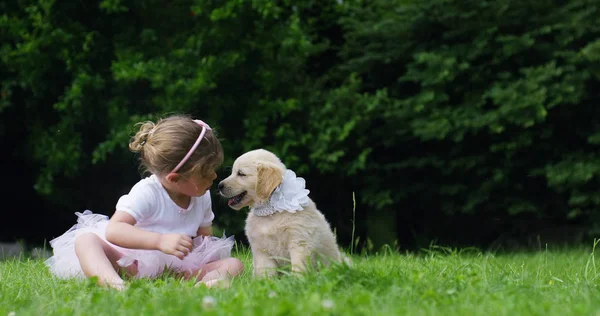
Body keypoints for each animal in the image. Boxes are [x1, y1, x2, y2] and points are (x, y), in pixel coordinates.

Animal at [218, 149, 346, 278]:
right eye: (233, 172)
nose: (219, 186)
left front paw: (297, 280)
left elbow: (298, 267)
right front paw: (265, 282)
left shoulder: (299, 243)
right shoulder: (262, 250)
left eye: (241, 174)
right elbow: (266, 272)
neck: (271, 211)